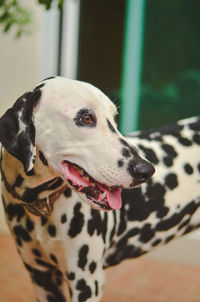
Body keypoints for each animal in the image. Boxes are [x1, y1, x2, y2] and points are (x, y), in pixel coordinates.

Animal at [0, 76, 200, 300]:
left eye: (114, 118)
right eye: (86, 118)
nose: (146, 170)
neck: (42, 204)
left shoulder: (87, 283)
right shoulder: (42, 279)